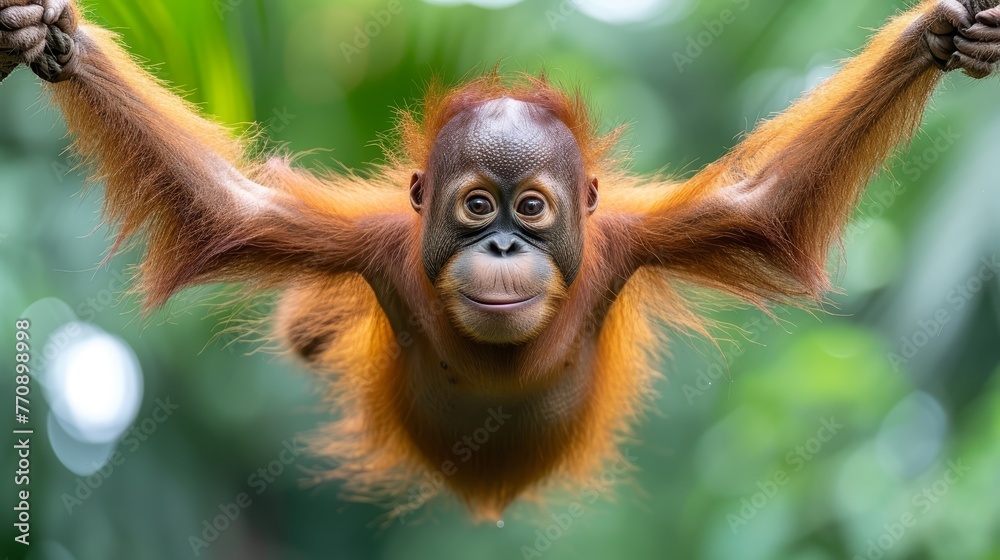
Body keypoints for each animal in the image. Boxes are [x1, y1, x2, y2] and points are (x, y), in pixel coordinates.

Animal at [2, 0, 1000, 520]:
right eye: (476, 206)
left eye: (532, 209)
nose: (504, 243)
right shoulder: (375, 248)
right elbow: (222, 206)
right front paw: (53, 39)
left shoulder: (621, 244)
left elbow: (765, 207)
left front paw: (938, 35)